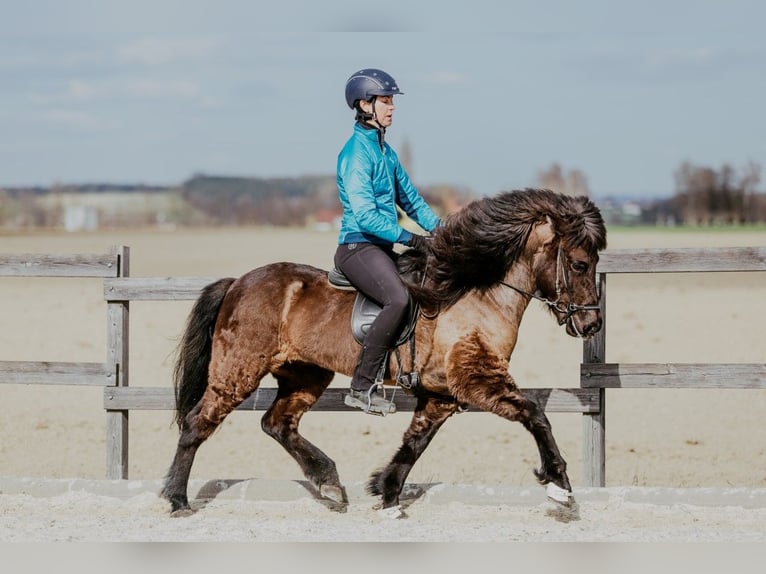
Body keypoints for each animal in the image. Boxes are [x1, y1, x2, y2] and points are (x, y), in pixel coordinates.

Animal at [161, 187, 607, 517]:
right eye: (580, 264)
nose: (591, 325)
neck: (477, 295)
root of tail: (238, 283)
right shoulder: (477, 379)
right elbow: (536, 415)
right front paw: (559, 485)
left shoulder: (442, 394)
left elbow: (414, 443)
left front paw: (388, 494)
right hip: (238, 369)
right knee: (198, 422)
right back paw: (178, 499)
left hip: (304, 373)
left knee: (278, 424)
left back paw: (329, 483)